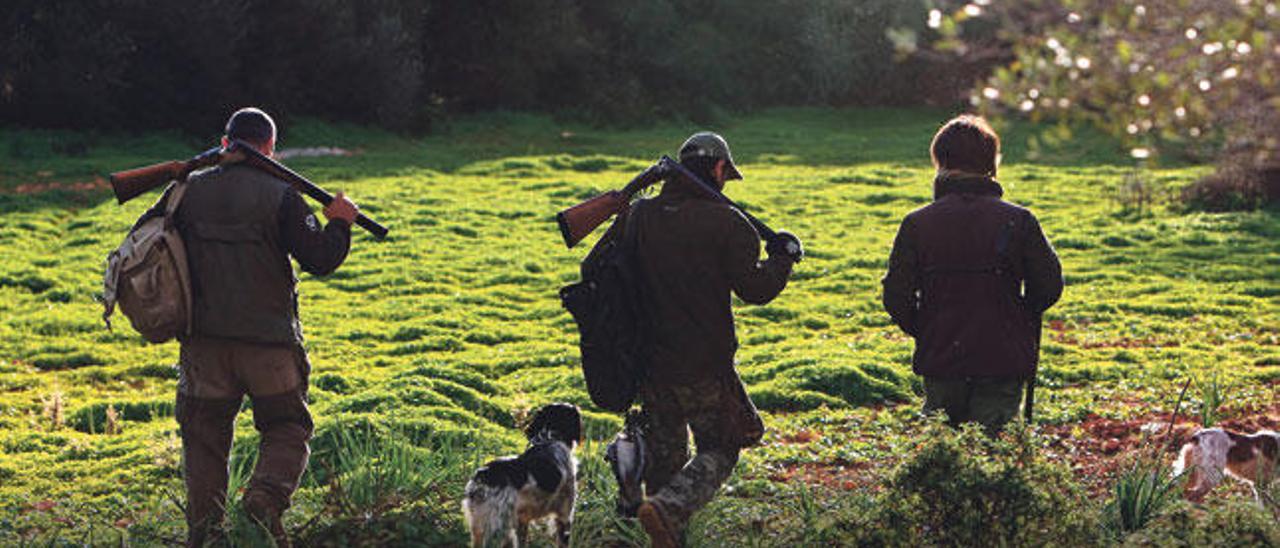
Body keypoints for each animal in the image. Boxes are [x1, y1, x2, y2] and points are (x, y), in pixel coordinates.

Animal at [463, 399, 583, 545]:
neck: (550, 438)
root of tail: (481, 479)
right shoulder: (564, 515)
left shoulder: (522, 520)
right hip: (498, 527)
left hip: (480, 527)